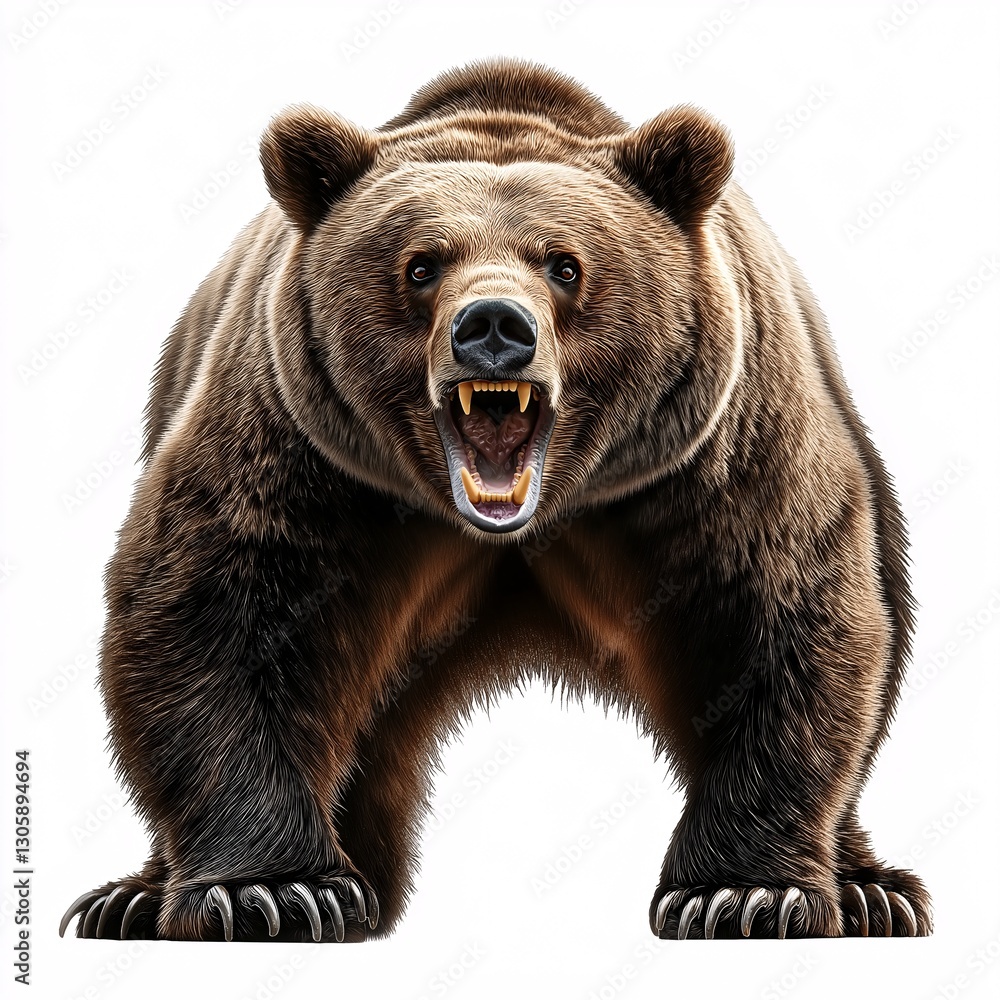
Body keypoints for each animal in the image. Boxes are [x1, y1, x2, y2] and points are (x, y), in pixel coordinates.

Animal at [61, 58, 931, 942]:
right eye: (421, 265)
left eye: (564, 264)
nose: (492, 326)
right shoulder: (303, 450)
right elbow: (217, 609)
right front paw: (274, 891)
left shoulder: (713, 458)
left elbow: (773, 613)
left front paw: (743, 895)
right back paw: (131, 898)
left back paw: (872, 889)